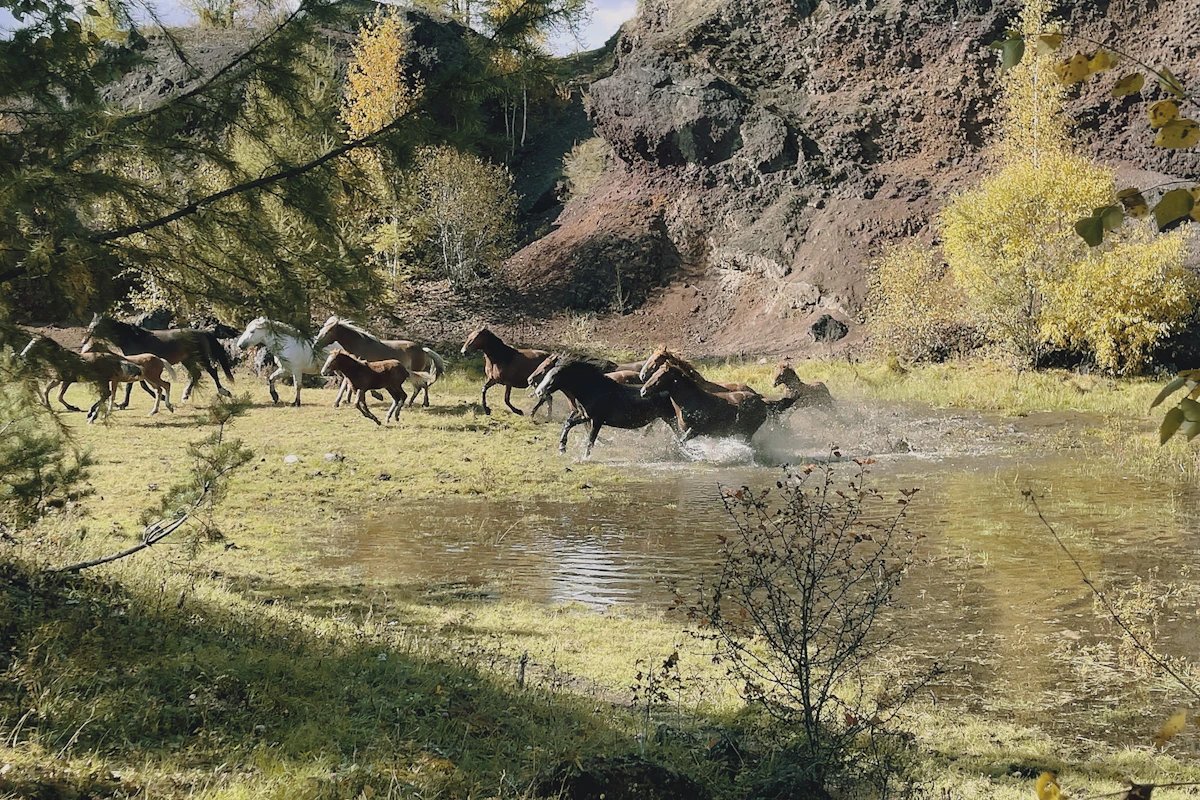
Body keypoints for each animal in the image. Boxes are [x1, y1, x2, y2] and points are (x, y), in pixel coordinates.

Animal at [84, 313, 234, 403]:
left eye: (96, 326)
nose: (84, 340)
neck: (132, 338)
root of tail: (202, 332)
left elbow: (134, 385)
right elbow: (138, 385)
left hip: (201, 358)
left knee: (212, 371)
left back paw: (224, 391)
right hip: (187, 360)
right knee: (196, 374)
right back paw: (185, 395)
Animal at [312, 317, 445, 407]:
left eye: (327, 332)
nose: (315, 344)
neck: (359, 344)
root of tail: (422, 349)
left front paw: (377, 395)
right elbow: (346, 383)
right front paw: (340, 401)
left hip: (415, 371)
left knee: (422, 386)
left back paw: (420, 403)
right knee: (422, 386)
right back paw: (414, 403)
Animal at [533, 357, 677, 456]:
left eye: (554, 376)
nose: (539, 392)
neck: (594, 389)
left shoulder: (597, 420)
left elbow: (591, 439)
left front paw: (585, 458)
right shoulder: (584, 415)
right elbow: (568, 423)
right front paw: (562, 449)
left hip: (671, 419)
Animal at [639, 363, 768, 442]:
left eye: (659, 377)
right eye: (654, 374)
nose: (642, 391)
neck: (691, 401)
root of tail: (761, 400)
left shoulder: (695, 430)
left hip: (748, 432)